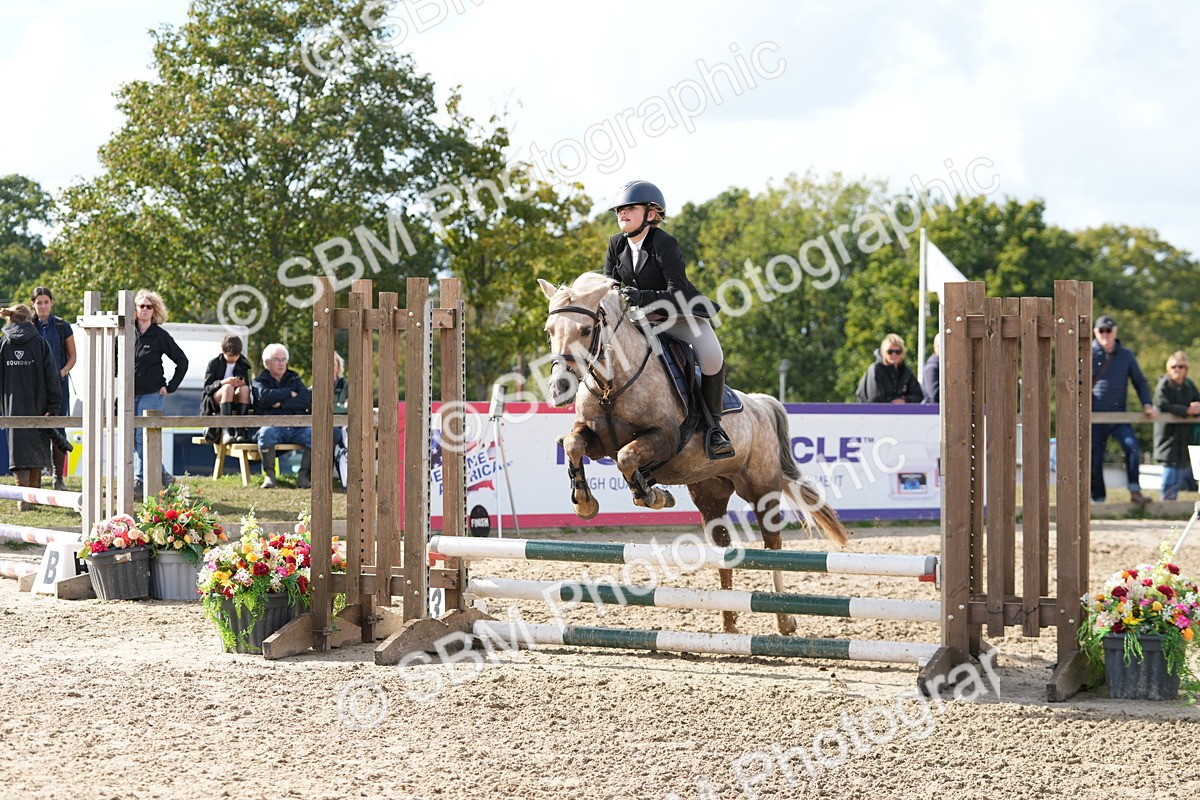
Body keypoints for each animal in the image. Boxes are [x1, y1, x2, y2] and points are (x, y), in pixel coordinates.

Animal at [539, 272, 850, 635]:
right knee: (723, 550)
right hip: (710, 493)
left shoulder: (664, 438)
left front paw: (652, 495)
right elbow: (574, 445)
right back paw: (728, 623)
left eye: (586, 330)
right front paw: (586, 502)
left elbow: (628, 458)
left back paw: (785, 620)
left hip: (762, 488)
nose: (559, 388)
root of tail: (761, 403)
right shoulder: (597, 440)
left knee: (773, 545)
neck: (612, 385)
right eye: (550, 331)